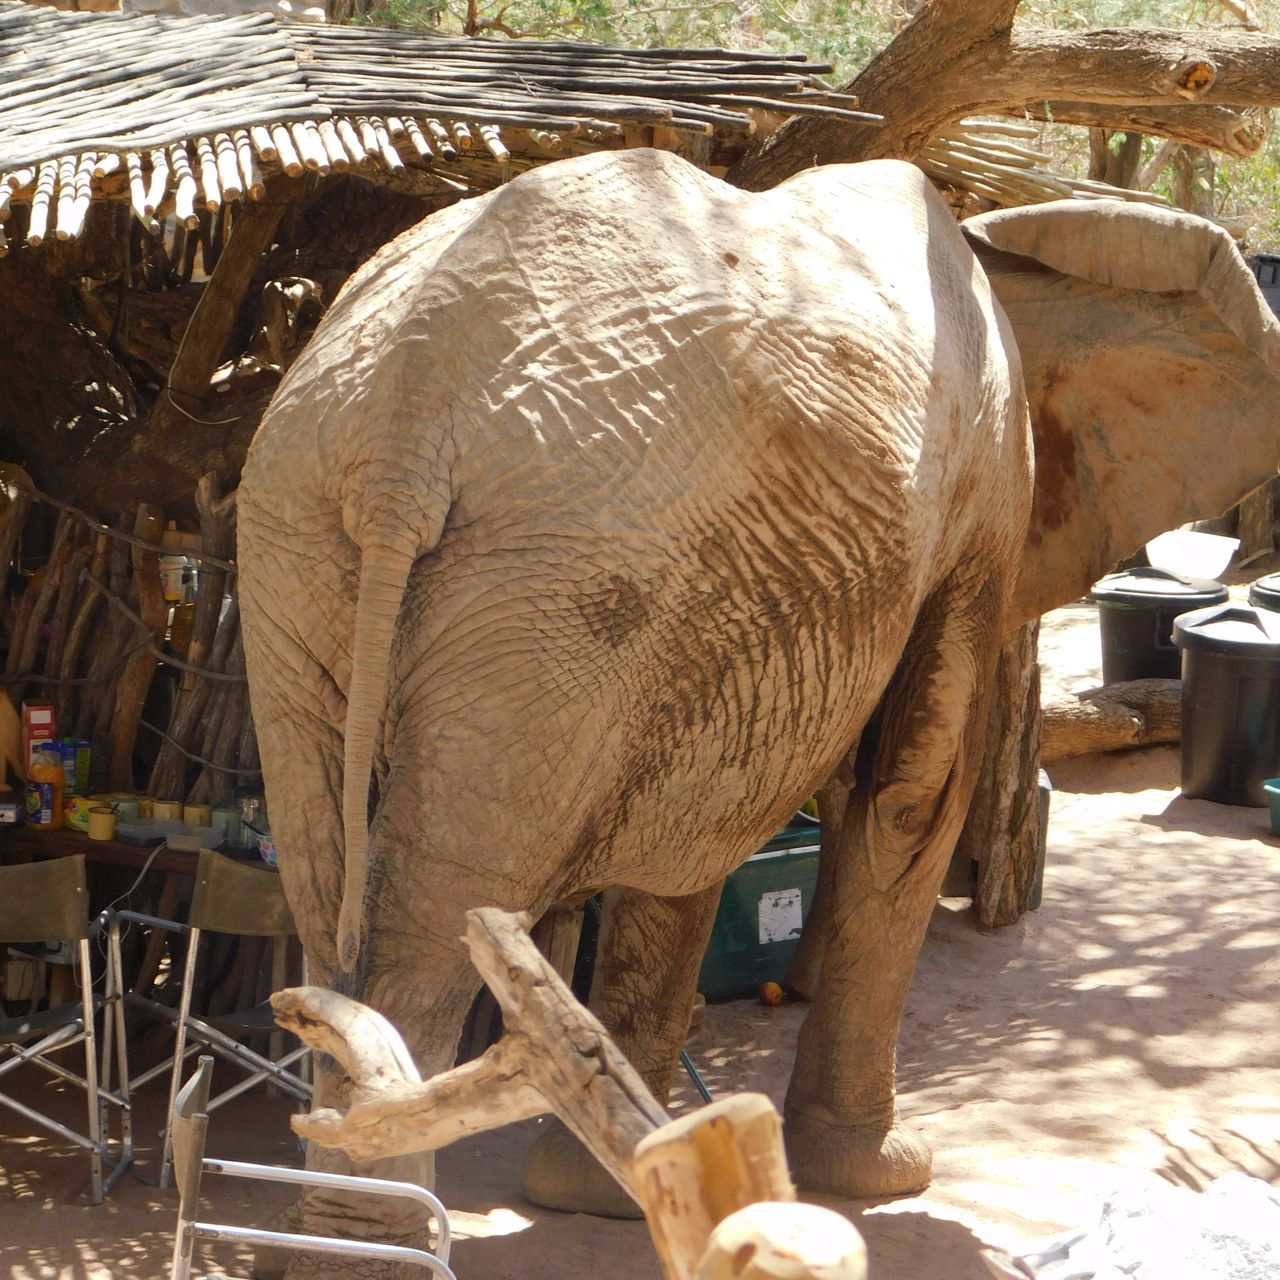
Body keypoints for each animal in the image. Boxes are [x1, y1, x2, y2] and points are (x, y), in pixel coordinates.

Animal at [238, 146, 1280, 1260]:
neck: (1011, 243)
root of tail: (401, 429)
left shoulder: (718, 609)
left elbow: (697, 833)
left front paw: (609, 1190)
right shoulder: (975, 499)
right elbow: (908, 792)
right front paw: (884, 1173)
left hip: (305, 547)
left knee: (330, 900)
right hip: (555, 581)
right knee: (422, 937)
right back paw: (373, 1247)